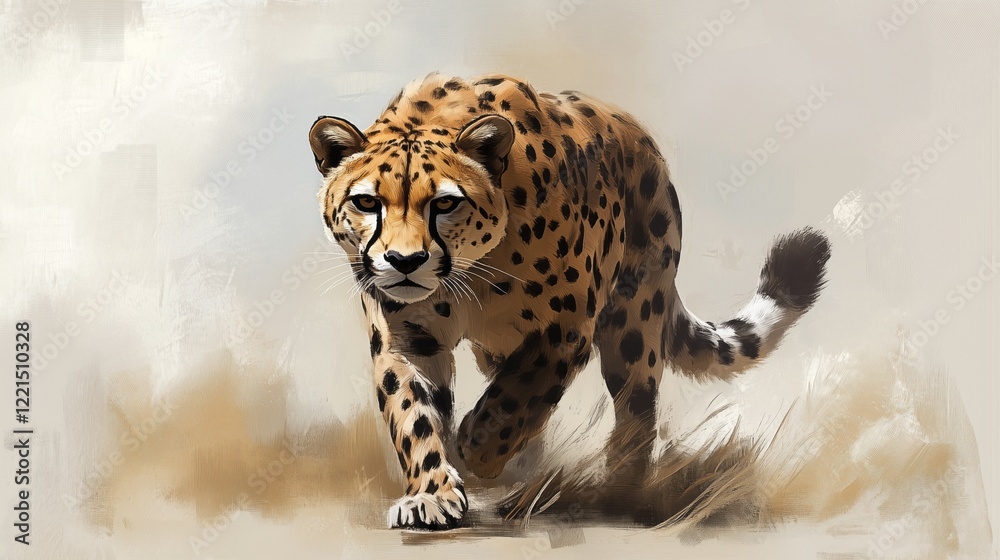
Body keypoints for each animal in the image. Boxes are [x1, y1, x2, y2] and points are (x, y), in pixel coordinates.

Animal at [307, 73, 831, 530]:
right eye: (366, 203)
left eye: (445, 203)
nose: (404, 261)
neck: (470, 273)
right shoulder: (407, 338)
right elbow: (413, 415)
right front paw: (432, 494)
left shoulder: (567, 328)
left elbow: (521, 395)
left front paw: (478, 446)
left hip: (634, 324)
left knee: (636, 413)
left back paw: (620, 493)